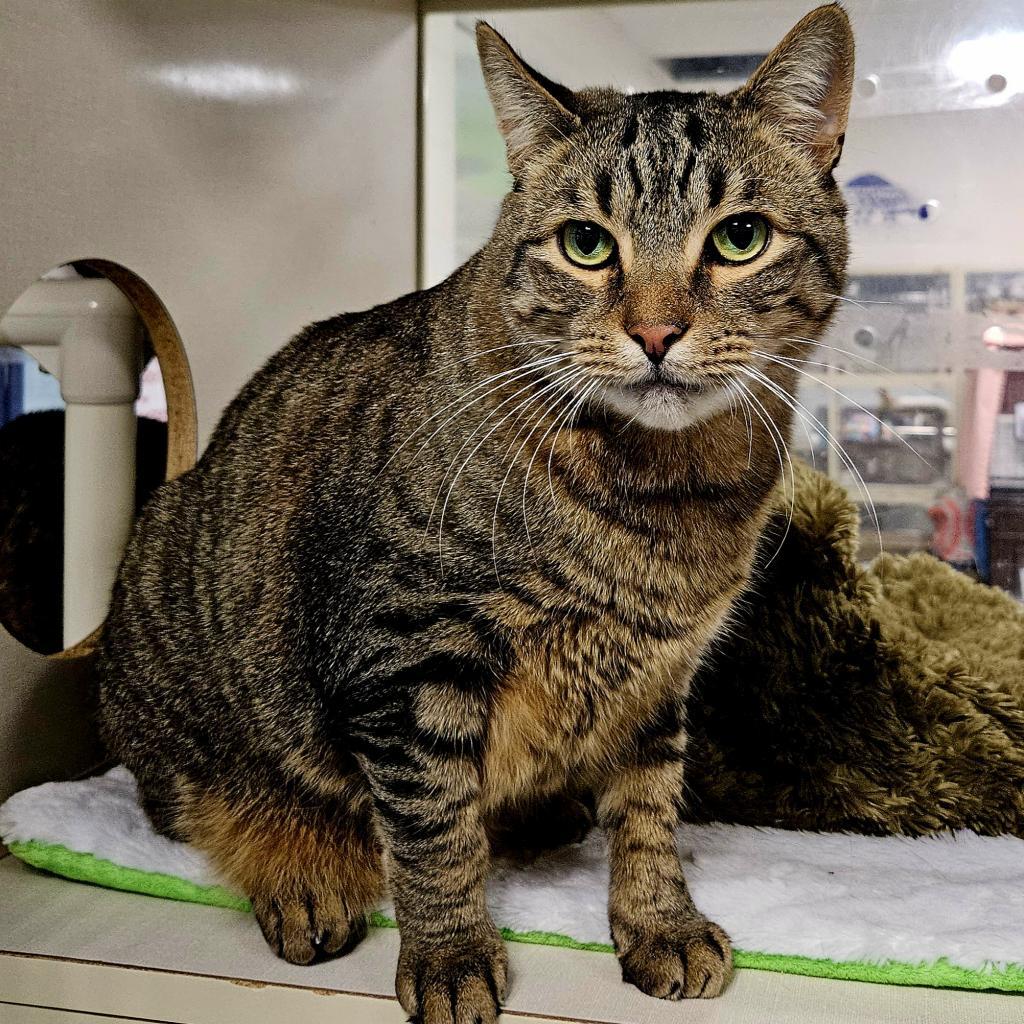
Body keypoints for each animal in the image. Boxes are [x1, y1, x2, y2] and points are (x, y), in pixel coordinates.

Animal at [99, 6, 856, 1015]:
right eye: (586, 244)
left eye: (739, 237)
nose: (656, 332)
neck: (667, 493)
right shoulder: (407, 656)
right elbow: (432, 829)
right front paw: (450, 955)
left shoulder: (658, 681)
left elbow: (649, 812)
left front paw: (658, 919)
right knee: (223, 803)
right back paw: (303, 874)